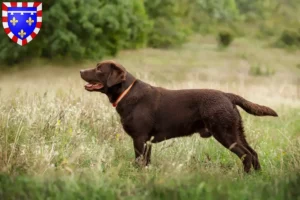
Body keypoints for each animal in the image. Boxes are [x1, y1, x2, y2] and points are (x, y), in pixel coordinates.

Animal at [79, 60, 276, 173]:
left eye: (99, 69)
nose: (80, 71)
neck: (127, 93)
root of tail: (227, 95)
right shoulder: (147, 141)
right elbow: (147, 162)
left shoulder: (140, 138)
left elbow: (139, 161)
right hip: (236, 131)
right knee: (253, 153)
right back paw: (258, 177)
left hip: (225, 133)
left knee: (246, 155)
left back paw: (245, 177)